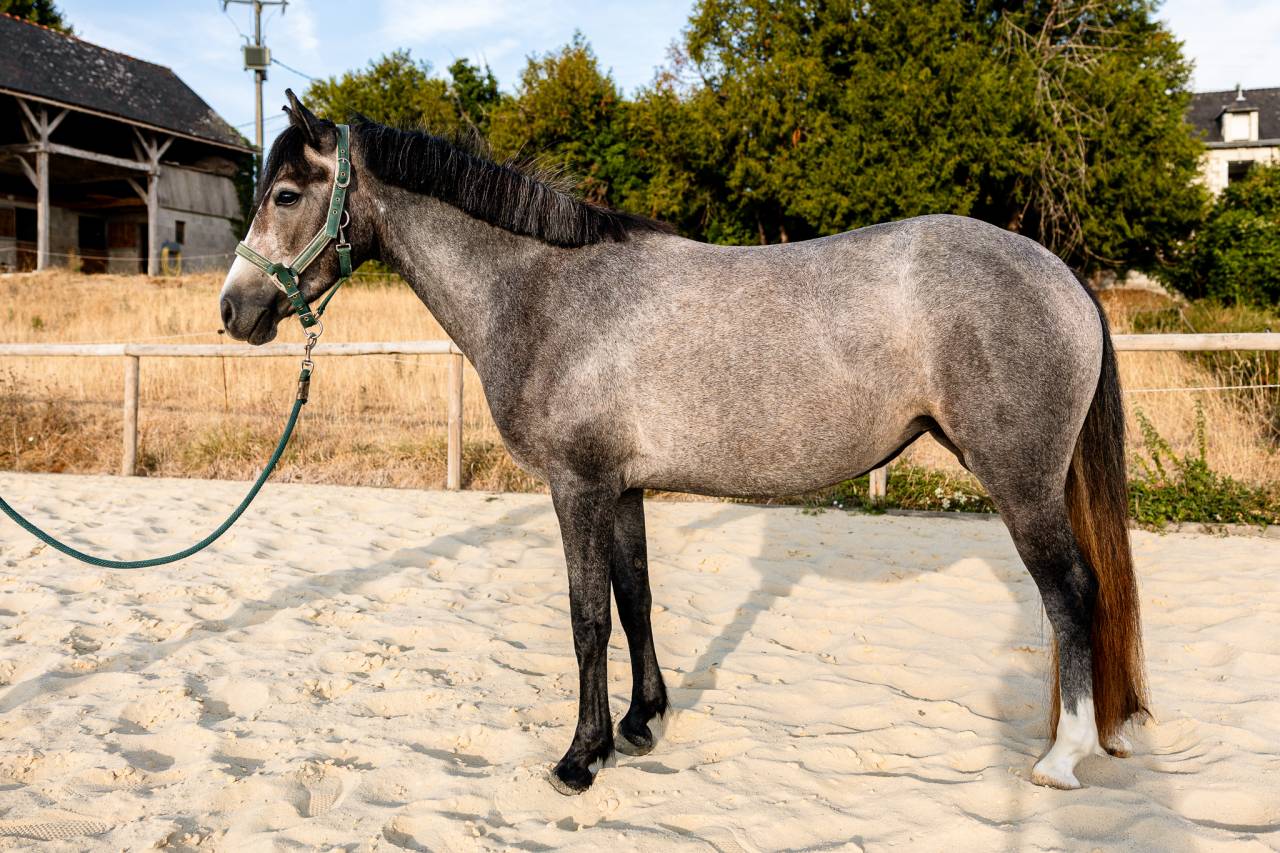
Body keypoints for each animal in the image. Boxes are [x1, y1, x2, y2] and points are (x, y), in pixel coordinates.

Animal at [220, 91, 1147, 795]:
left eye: (287, 196)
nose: (233, 311)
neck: (547, 292)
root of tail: (1062, 273)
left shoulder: (578, 485)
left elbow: (587, 615)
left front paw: (581, 755)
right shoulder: (624, 487)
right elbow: (635, 600)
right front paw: (641, 722)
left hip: (1022, 484)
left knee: (1071, 593)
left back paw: (1062, 755)